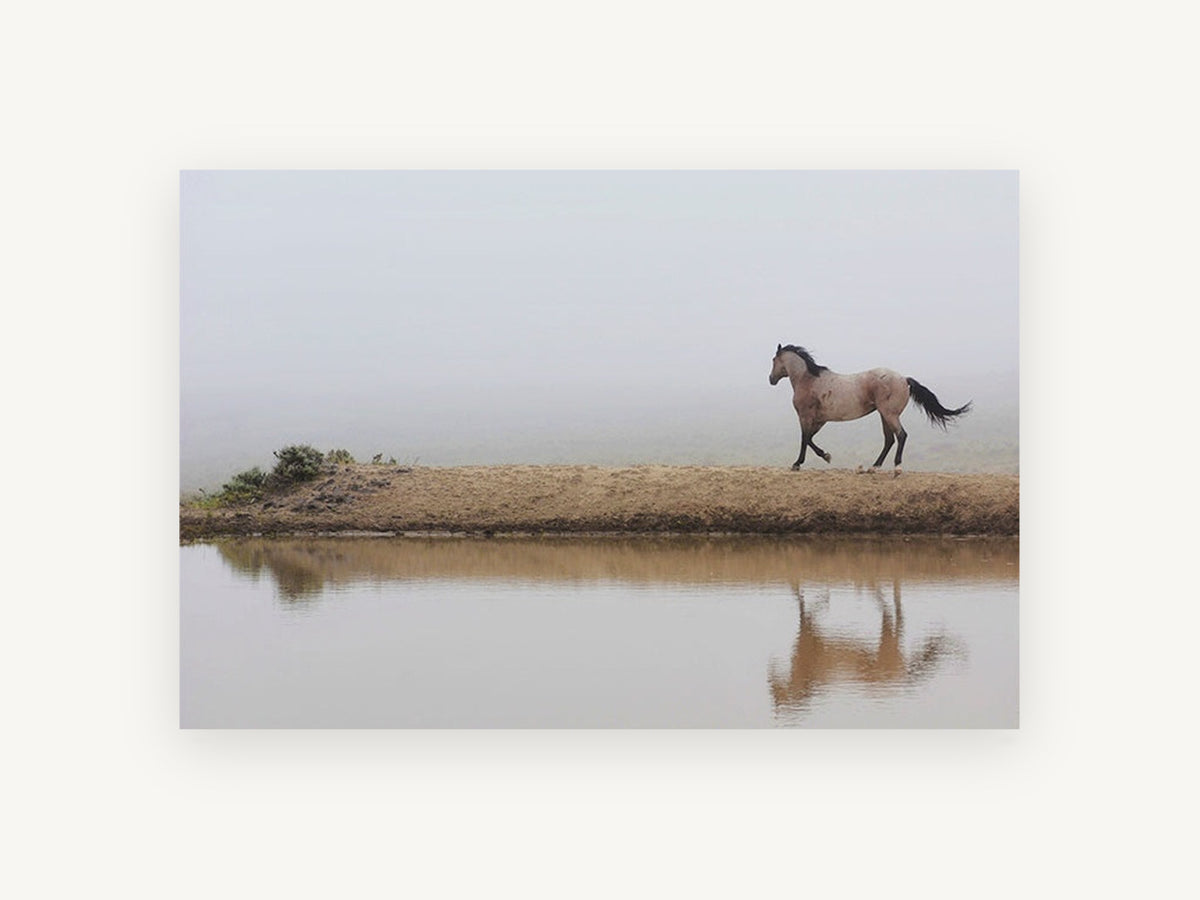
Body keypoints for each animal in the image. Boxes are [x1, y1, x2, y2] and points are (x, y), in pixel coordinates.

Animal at [769, 343, 971, 474]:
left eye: (773, 360)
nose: (771, 379)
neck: (808, 380)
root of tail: (904, 379)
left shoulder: (805, 416)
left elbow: (805, 439)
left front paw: (799, 463)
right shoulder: (820, 420)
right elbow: (809, 438)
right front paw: (825, 456)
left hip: (889, 414)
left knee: (901, 435)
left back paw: (897, 467)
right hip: (884, 415)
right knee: (889, 439)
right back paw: (874, 467)